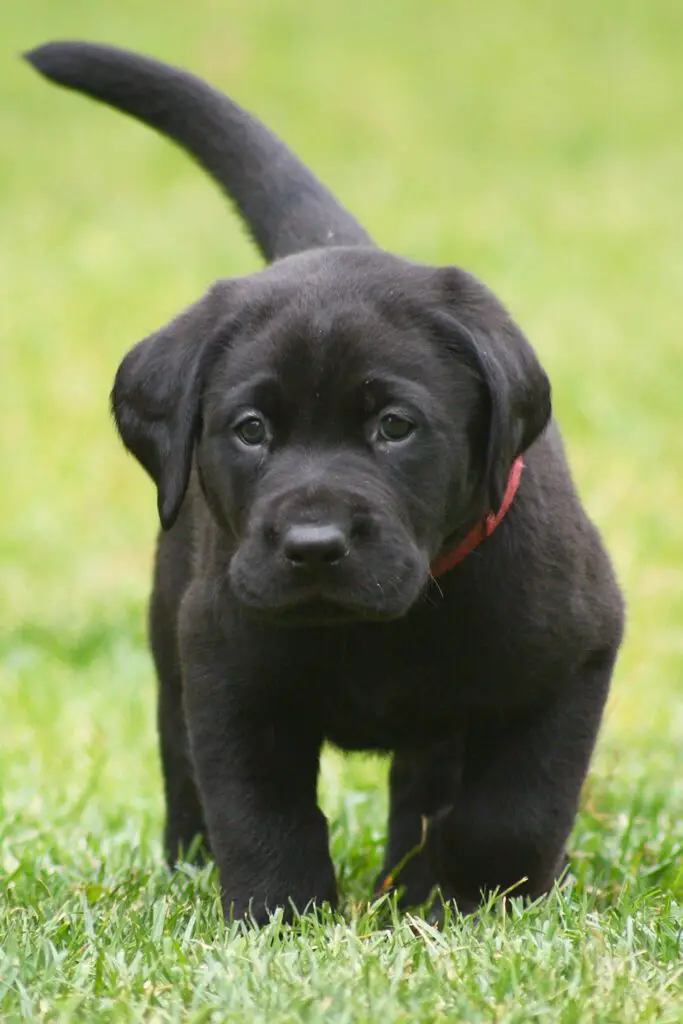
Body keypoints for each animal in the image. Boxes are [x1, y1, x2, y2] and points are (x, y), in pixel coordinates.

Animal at [26, 39, 626, 925]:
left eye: (394, 427)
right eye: (250, 430)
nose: (313, 547)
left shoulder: (573, 656)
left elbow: (512, 813)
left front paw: (468, 898)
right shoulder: (226, 666)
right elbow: (259, 809)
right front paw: (278, 915)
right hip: (170, 640)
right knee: (183, 770)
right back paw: (196, 865)